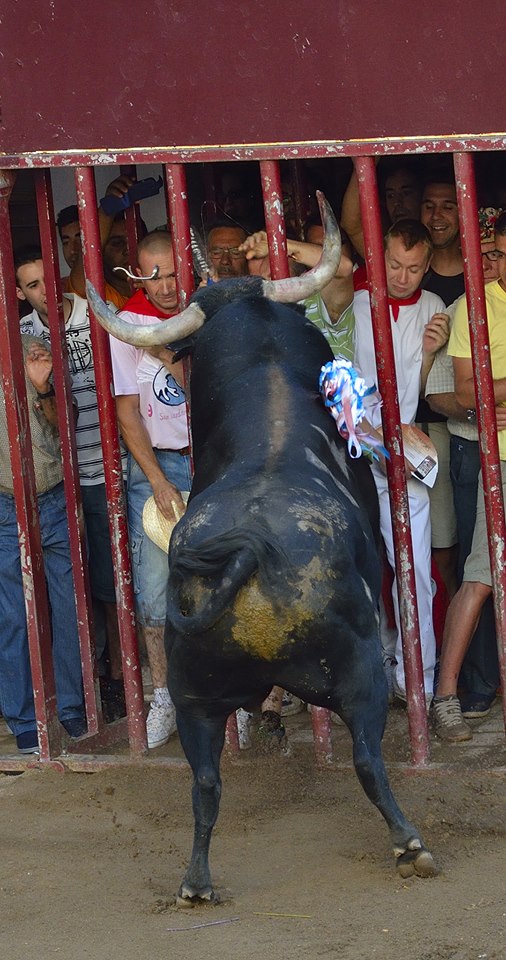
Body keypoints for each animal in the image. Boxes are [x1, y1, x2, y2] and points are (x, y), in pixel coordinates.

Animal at [86, 270, 434, 908]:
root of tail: (249, 548)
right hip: (357, 671)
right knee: (367, 759)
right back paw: (410, 845)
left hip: (195, 694)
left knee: (205, 781)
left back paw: (196, 882)